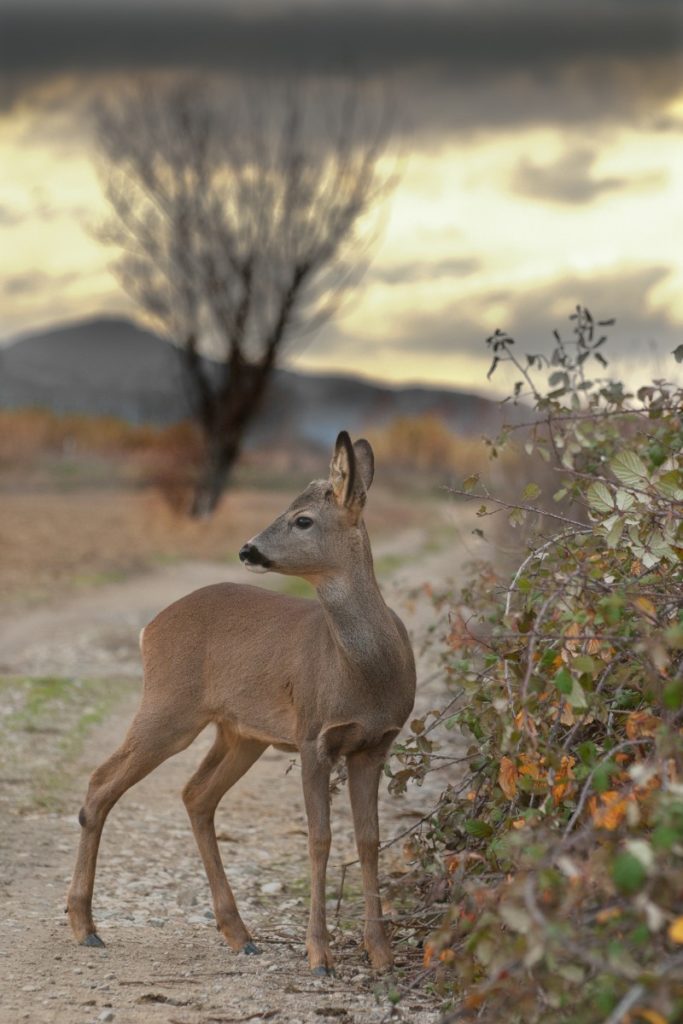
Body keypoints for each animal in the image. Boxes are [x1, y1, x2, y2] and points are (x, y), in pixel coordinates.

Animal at [66, 432, 417, 974]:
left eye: (302, 519)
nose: (247, 548)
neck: (364, 671)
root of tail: (149, 628)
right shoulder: (313, 735)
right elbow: (320, 839)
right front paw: (319, 954)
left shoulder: (375, 744)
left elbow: (369, 839)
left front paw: (380, 952)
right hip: (169, 705)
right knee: (103, 783)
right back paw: (85, 927)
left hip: (239, 732)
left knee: (196, 794)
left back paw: (239, 933)